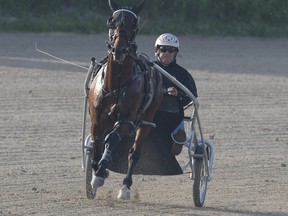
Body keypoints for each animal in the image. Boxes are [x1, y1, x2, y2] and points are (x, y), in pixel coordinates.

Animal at [88, 0, 163, 200]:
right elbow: (96, 143)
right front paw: (98, 171)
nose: (119, 49)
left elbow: (112, 139)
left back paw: (125, 187)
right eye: (111, 21)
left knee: (134, 153)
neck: (116, 84)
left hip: (146, 120)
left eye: (134, 24)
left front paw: (100, 175)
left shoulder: (126, 121)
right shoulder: (97, 120)